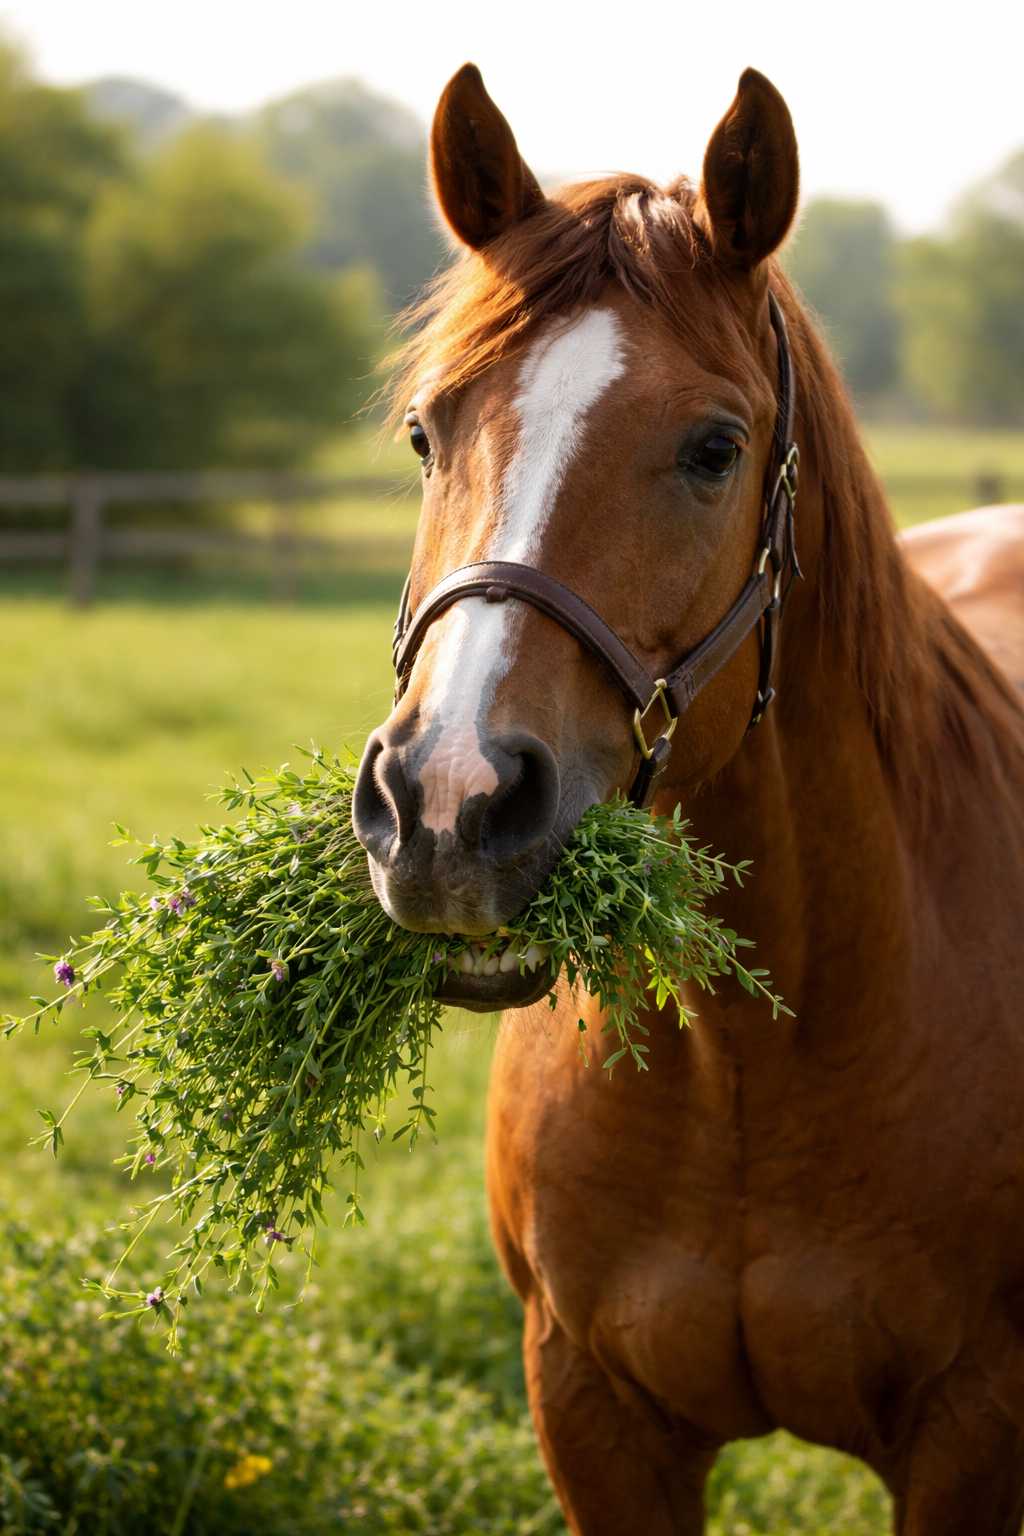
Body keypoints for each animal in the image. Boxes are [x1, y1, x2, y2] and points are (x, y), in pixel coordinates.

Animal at [352, 63, 1024, 1535]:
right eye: (427, 430)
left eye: (715, 448)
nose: (447, 802)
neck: (750, 1060)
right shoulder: (594, 1414)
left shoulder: (972, 1433)